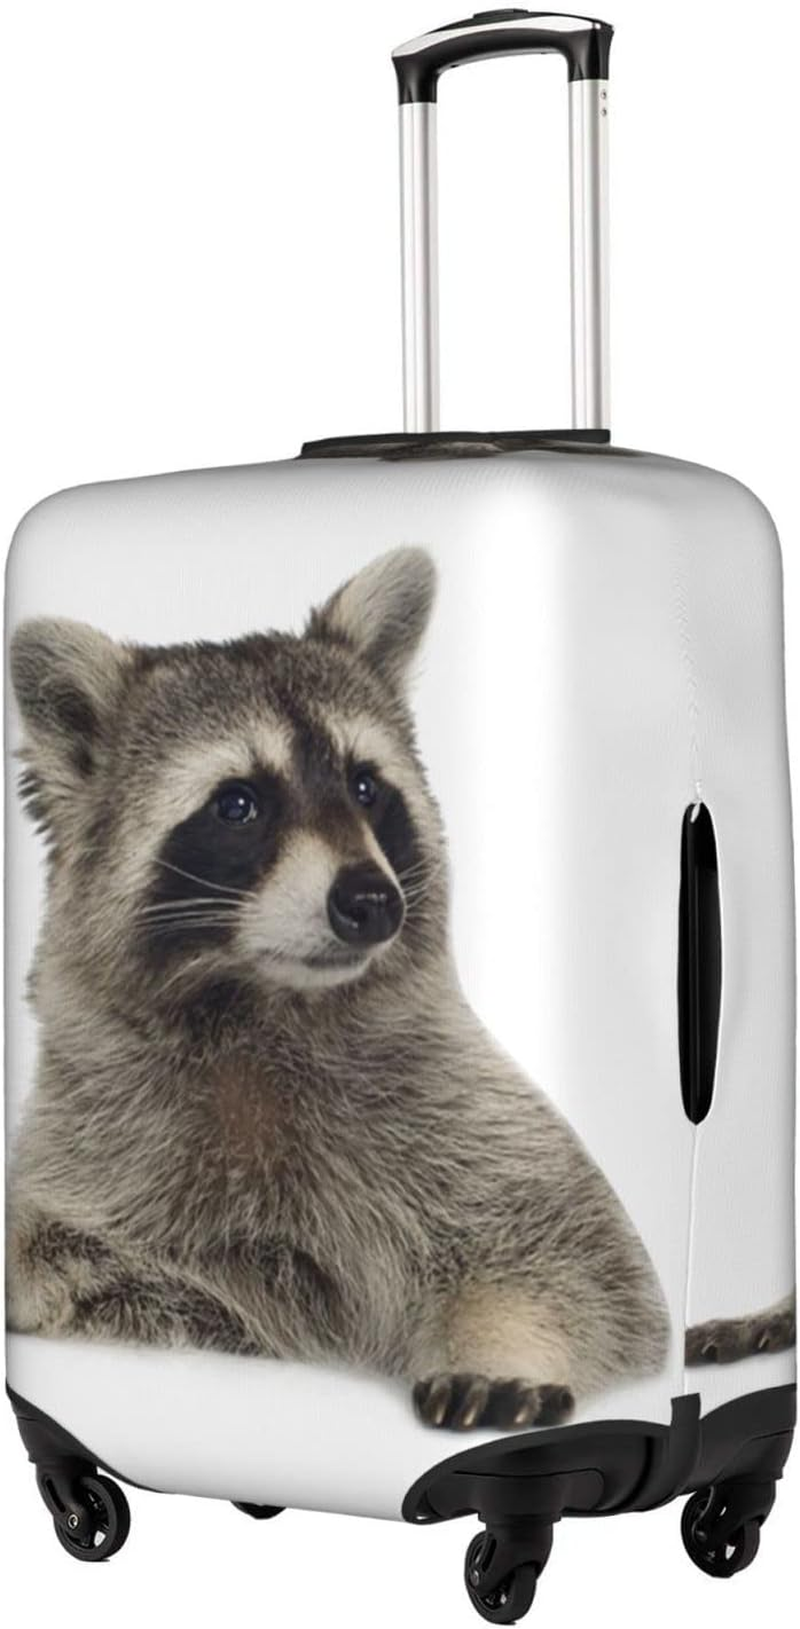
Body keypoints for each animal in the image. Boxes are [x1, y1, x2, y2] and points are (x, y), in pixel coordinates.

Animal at [8, 546, 681, 1433]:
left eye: (366, 787)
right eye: (238, 804)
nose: (372, 902)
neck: (265, 1001)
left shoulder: (472, 1112)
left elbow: (587, 1266)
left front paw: (501, 1340)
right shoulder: (92, 1153)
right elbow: (77, 1265)